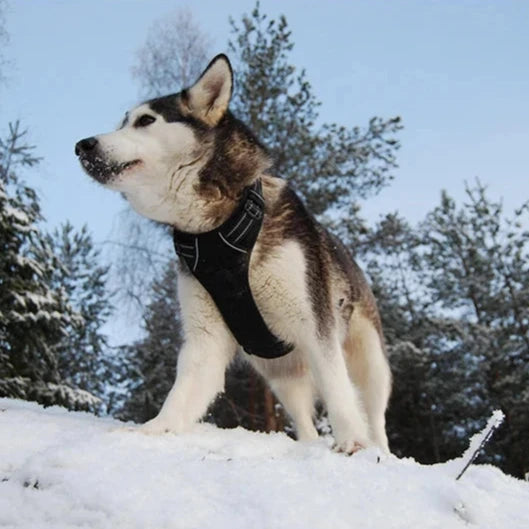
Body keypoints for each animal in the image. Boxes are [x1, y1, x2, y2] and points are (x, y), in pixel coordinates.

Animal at [77, 53, 392, 452]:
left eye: (145, 121)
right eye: (122, 122)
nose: (83, 145)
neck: (218, 231)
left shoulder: (316, 326)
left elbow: (337, 390)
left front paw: (351, 441)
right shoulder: (205, 338)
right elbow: (181, 393)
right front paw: (153, 431)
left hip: (369, 360)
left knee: (374, 413)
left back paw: (379, 448)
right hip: (283, 375)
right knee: (304, 419)